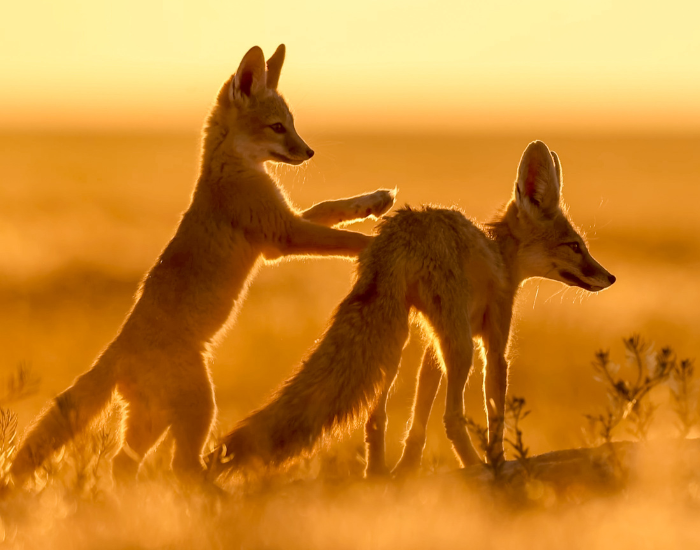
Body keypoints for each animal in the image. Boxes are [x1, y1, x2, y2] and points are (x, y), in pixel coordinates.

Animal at [9, 44, 396, 486]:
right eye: (277, 127)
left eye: (292, 125)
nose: (309, 152)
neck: (230, 169)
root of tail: (116, 351)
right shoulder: (282, 234)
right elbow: (343, 239)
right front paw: (378, 243)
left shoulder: (280, 226)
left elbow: (333, 208)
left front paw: (375, 203)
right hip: (200, 407)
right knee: (180, 465)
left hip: (152, 421)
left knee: (123, 464)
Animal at [209, 140, 616, 479]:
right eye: (575, 246)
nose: (609, 277)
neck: (498, 256)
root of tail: (401, 230)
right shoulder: (492, 343)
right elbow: (494, 415)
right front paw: (497, 461)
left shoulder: (434, 346)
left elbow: (419, 418)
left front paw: (408, 468)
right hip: (456, 348)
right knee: (451, 418)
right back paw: (477, 468)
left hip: (396, 340)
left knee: (375, 418)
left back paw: (377, 475)